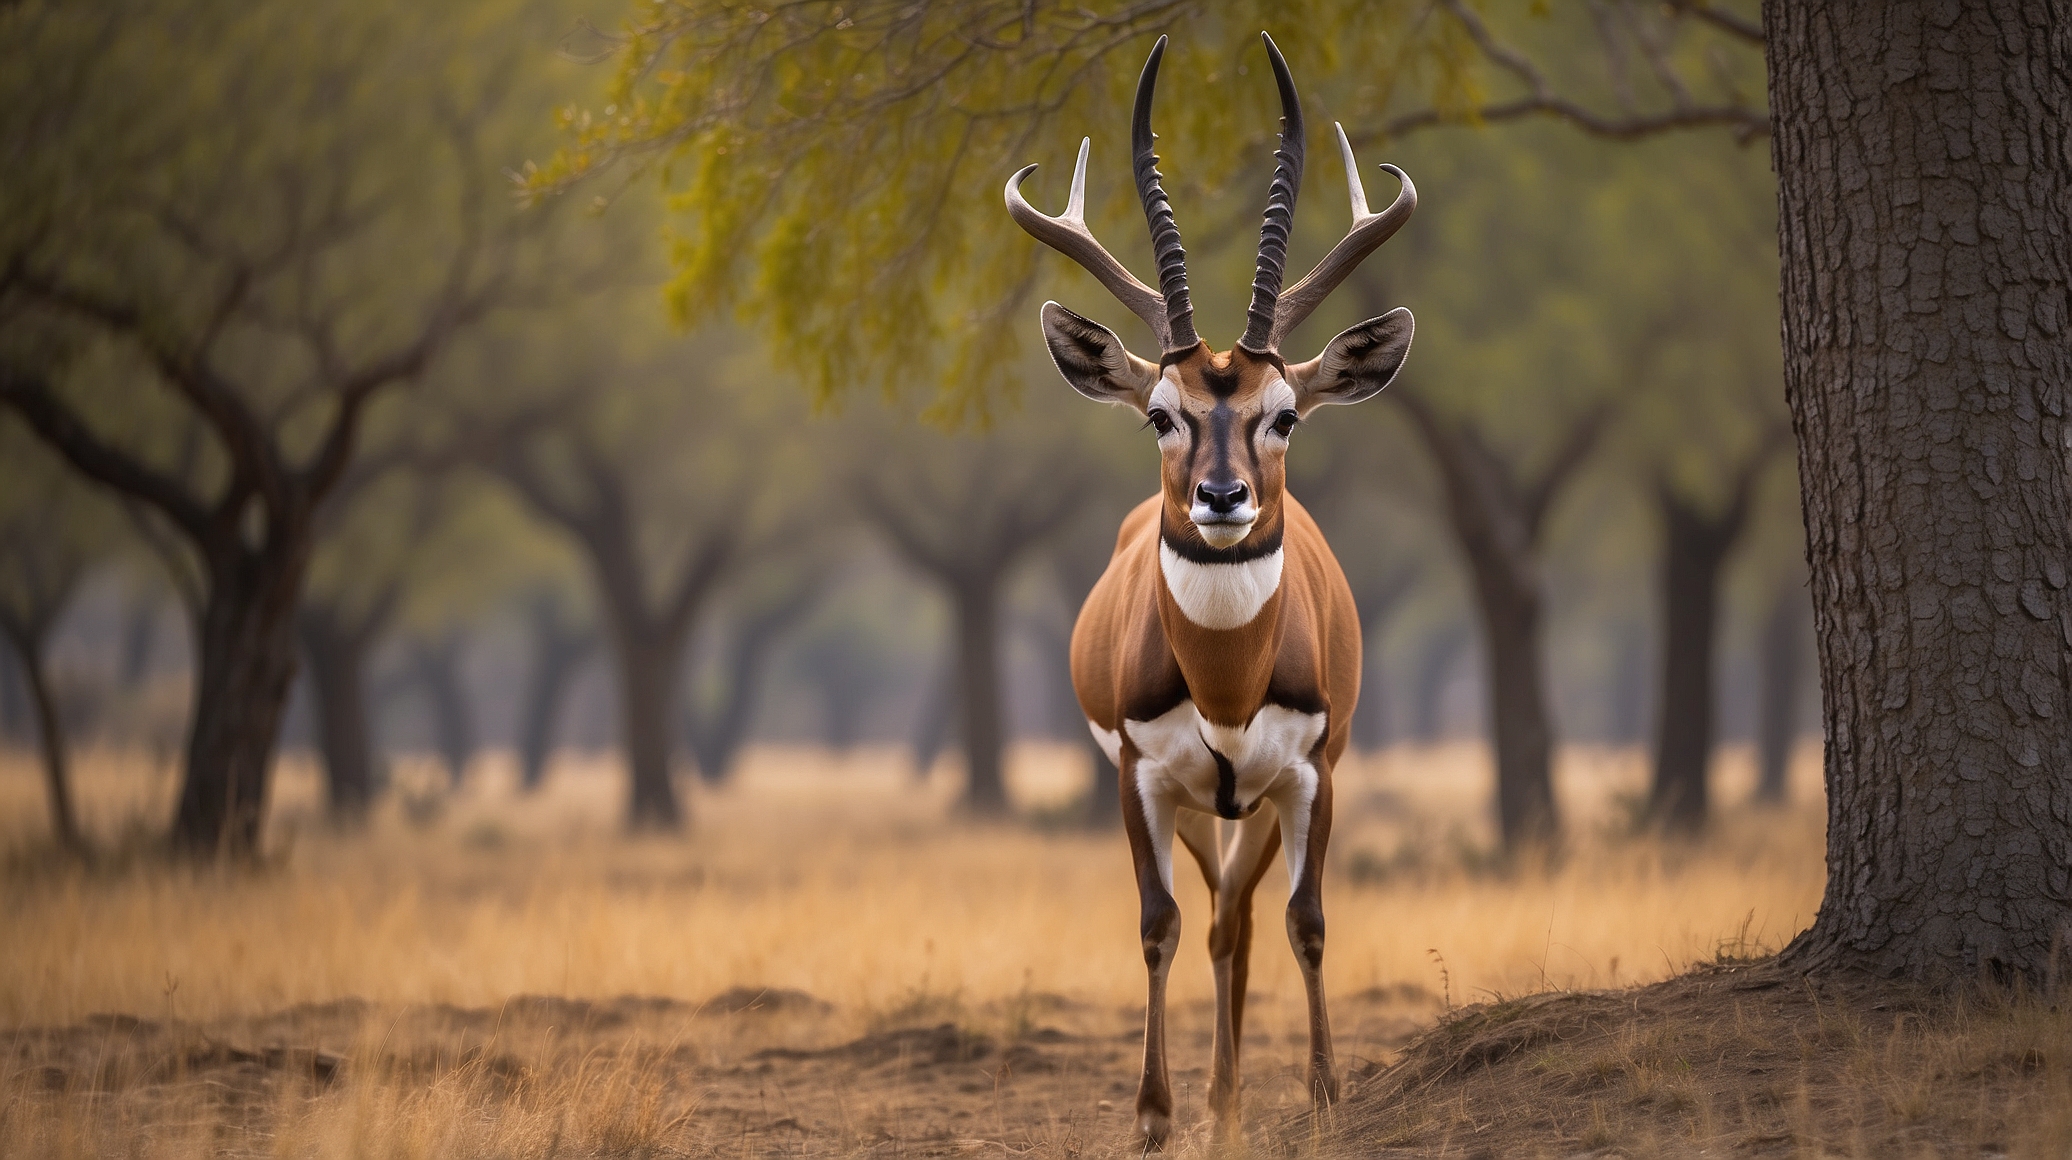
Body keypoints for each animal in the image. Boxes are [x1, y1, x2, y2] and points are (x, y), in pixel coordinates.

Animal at [1006, 31, 1425, 1143]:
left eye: (1286, 412)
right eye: (1162, 412)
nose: (1222, 497)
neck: (1228, 684)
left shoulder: (1314, 774)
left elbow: (1308, 923)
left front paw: (1322, 1097)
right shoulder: (1141, 779)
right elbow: (1156, 925)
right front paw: (1153, 1117)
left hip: (1260, 805)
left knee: (1241, 916)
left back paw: (1233, 1105)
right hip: (1203, 808)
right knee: (1214, 920)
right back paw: (1213, 1103)